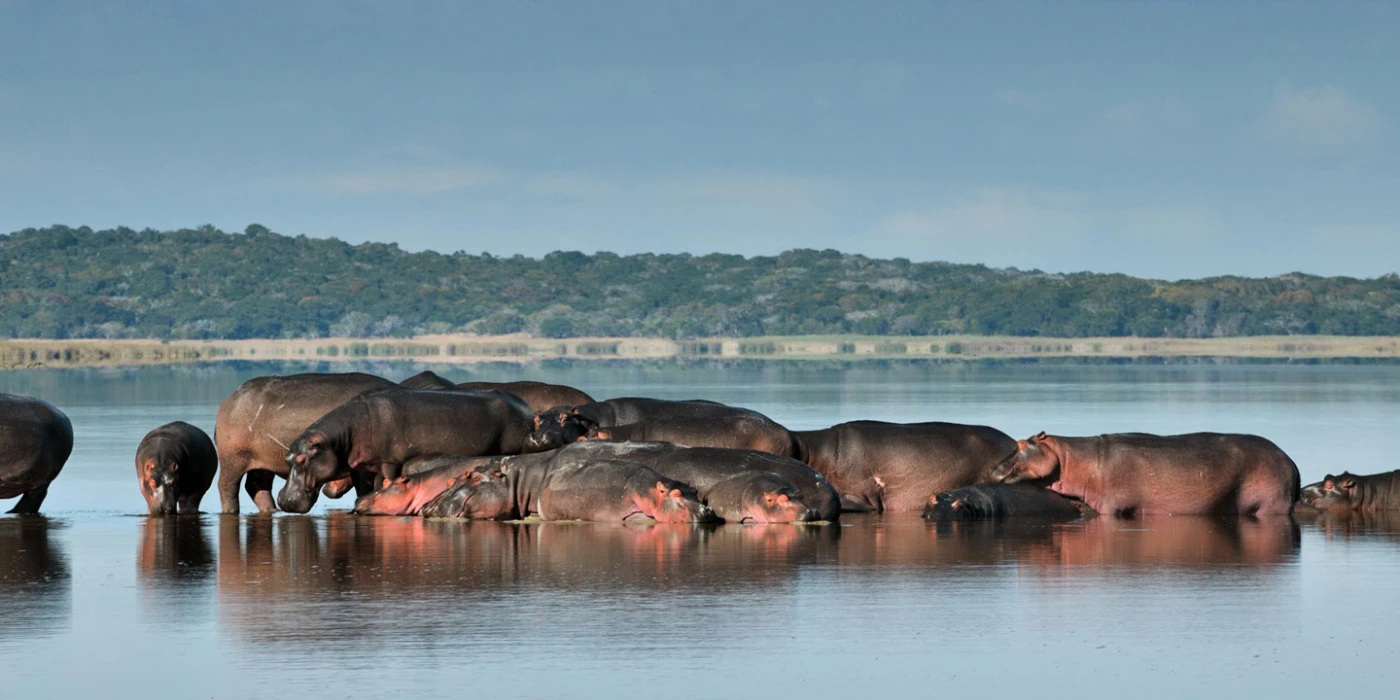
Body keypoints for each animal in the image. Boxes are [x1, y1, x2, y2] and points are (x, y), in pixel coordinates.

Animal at [215, 372, 397, 515]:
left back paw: (272, 510)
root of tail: (230, 399)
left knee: (257, 486)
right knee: (228, 487)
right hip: (233, 460)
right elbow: (369, 488)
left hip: (261, 463)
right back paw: (231, 511)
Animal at [275, 389, 548, 515]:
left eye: (303, 459)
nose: (284, 500)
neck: (342, 436)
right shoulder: (364, 467)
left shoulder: (389, 463)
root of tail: (527, 408)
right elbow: (366, 488)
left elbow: (383, 483)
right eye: (287, 457)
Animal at [985, 428, 1299, 518]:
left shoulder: (1111, 505)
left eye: (1021, 443)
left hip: (1272, 503)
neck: (1069, 457)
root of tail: (1291, 461)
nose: (990, 469)